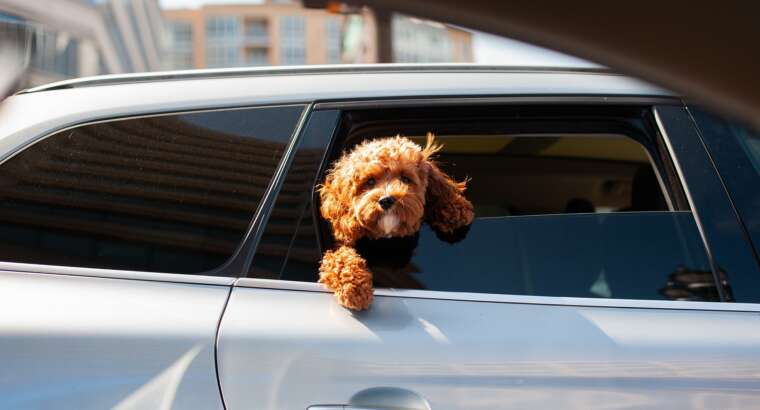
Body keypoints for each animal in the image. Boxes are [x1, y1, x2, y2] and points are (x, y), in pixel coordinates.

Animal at [316, 133, 472, 310]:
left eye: (405, 179)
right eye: (370, 181)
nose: (386, 200)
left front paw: (455, 208)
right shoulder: (338, 246)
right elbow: (339, 259)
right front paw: (354, 288)